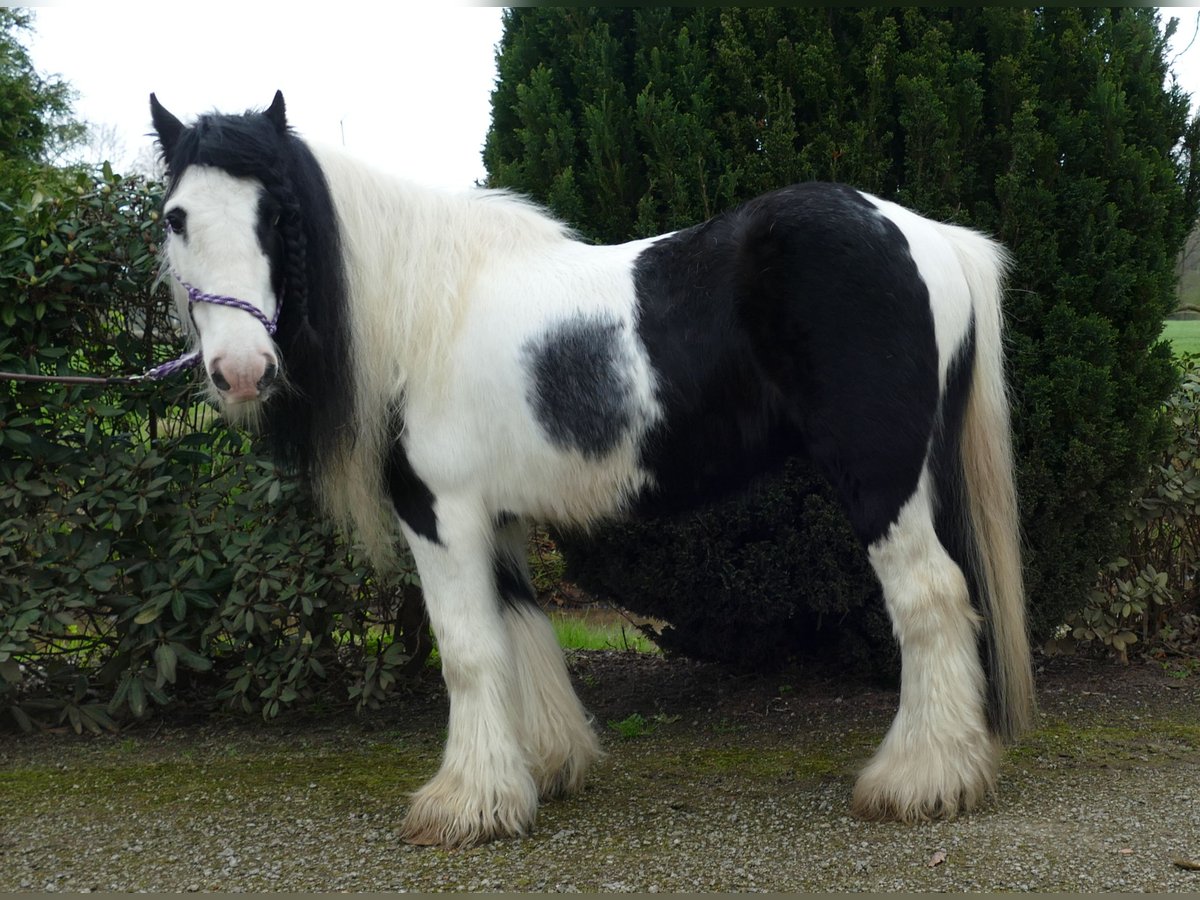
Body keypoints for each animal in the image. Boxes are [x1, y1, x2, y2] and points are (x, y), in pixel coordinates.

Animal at [150, 88, 1032, 849]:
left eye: (277, 214)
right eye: (176, 217)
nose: (239, 371)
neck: (424, 311)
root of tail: (927, 235)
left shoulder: (438, 511)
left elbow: (467, 650)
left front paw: (464, 804)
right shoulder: (496, 516)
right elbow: (520, 629)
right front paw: (542, 768)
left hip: (882, 481)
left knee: (930, 600)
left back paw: (920, 779)